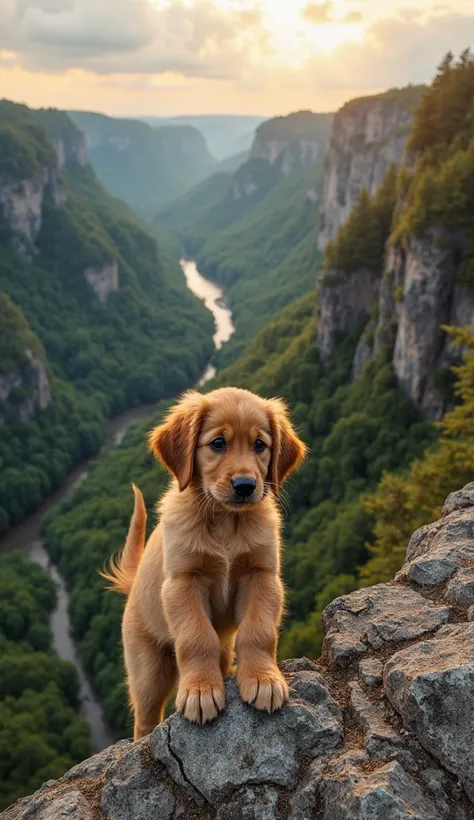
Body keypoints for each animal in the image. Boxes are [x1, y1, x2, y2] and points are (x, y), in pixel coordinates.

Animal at [102, 388, 308, 740]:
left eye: (259, 445)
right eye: (218, 443)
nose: (245, 486)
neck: (225, 522)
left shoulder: (262, 575)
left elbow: (258, 630)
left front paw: (263, 678)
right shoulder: (183, 582)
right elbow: (196, 637)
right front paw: (200, 690)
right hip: (148, 668)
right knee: (145, 716)